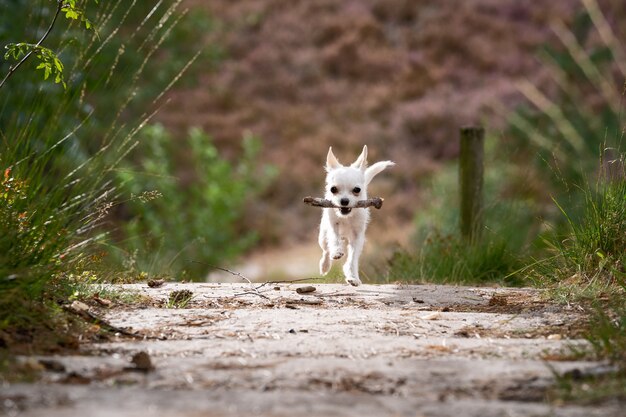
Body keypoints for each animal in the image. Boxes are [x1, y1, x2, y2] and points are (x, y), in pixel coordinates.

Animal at [316, 145, 394, 284]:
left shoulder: (357, 237)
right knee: (325, 250)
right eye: (333, 189)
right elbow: (334, 239)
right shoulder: (333, 226)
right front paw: (336, 251)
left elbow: (352, 258)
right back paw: (325, 265)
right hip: (322, 236)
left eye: (357, 190)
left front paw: (352, 276)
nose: (344, 201)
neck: (346, 217)